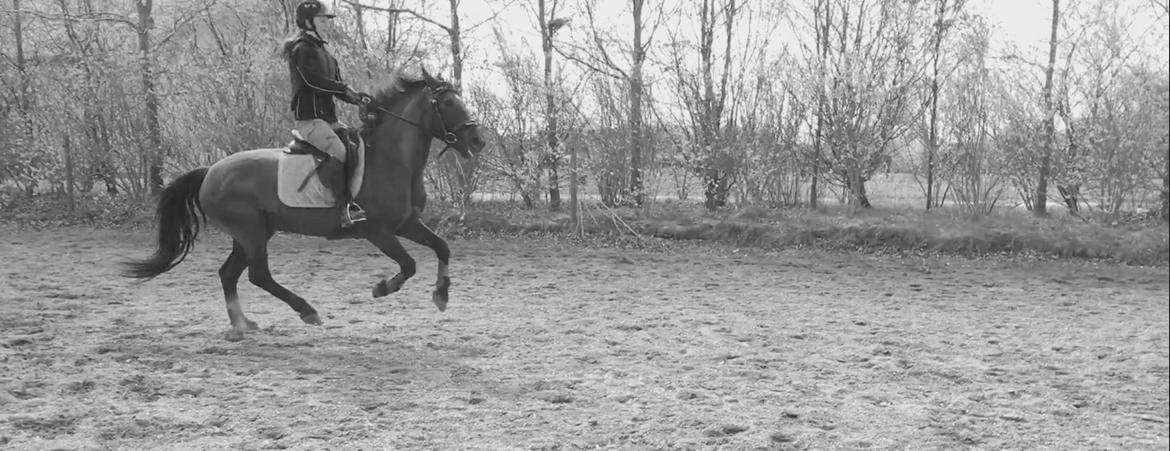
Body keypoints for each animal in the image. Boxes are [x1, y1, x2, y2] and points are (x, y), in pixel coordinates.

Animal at [128, 68, 489, 339]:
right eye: (447, 102)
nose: (477, 140)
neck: (391, 159)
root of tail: (210, 172)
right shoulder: (379, 232)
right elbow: (409, 265)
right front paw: (382, 288)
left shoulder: (408, 223)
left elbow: (442, 247)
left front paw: (441, 295)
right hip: (251, 232)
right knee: (258, 275)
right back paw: (307, 311)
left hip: (254, 233)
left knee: (229, 274)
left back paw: (243, 324)